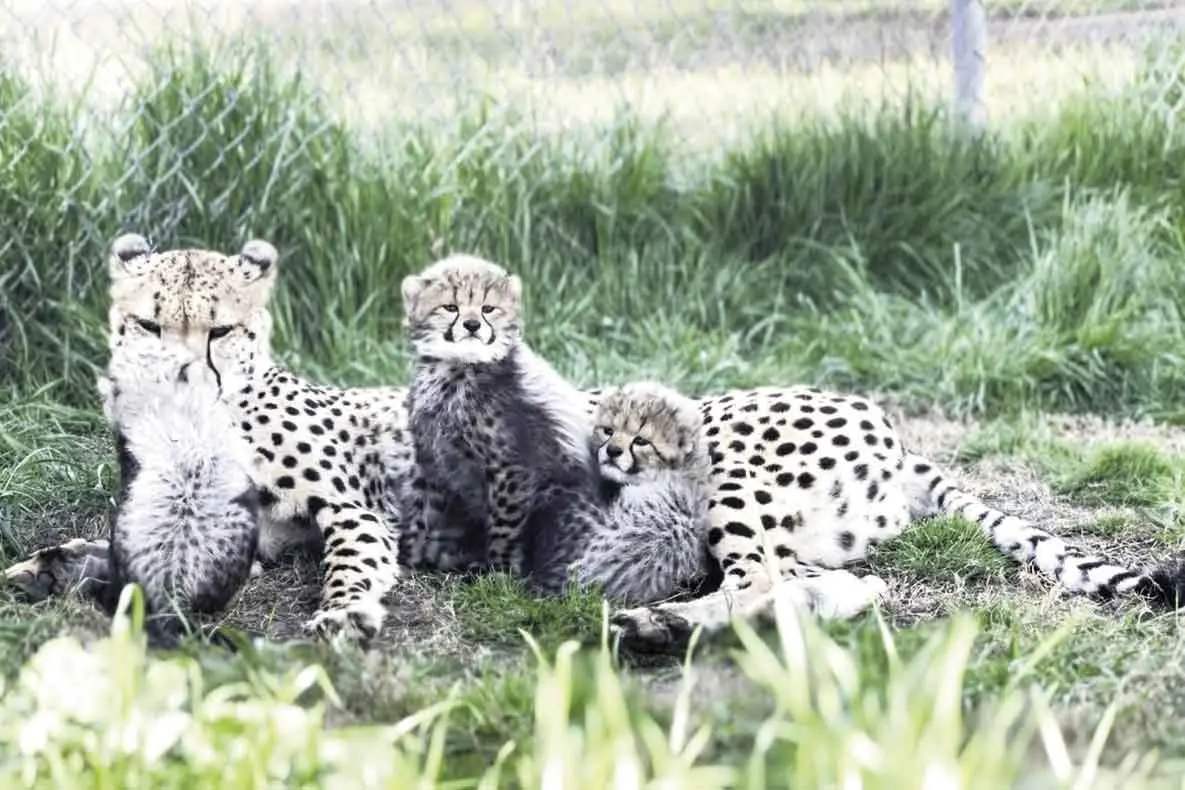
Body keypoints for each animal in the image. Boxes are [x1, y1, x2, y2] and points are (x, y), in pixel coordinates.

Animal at [397, 253, 605, 593]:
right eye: (450, 307)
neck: (456, 370)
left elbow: (503, 526)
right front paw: (406, 560)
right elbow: (419, 513)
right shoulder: (431, 461)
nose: (472, 325)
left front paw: (500, 576)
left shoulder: (510, 467)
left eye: (487, 309)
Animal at [605, 385, 1185, 652]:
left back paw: (660, 624)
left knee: (760, 575)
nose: (611, 449)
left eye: (627, 437)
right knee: (848, 584)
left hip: (725, 464)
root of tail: (900, 443)